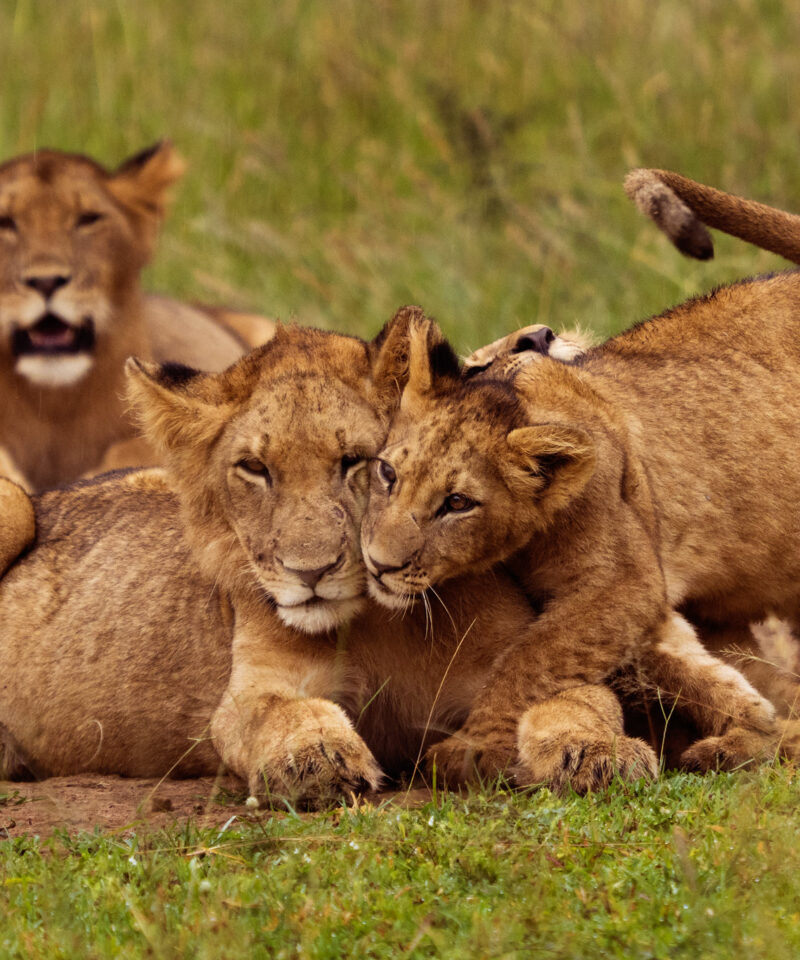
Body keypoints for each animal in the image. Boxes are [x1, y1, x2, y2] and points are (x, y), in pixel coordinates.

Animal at [359, 283, 800, 786]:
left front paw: (473, 747)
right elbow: (704, 674)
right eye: (387, 474)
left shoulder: (626, 583)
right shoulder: (647, 611)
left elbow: (529, 660)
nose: (378, 564)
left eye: (457, 503)